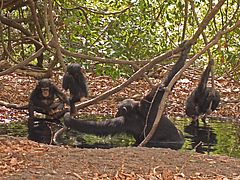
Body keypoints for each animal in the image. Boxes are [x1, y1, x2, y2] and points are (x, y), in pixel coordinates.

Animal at [55, 41, 191, 149]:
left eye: (118, 110)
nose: (115, 113)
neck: (136, 111)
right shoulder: (147, 102)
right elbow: (164, 85)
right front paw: (184, 54)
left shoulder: (126, 120)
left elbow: (101, 127)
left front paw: (69, 119)